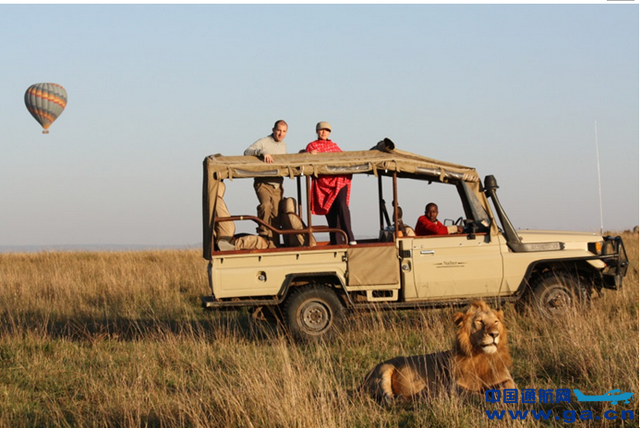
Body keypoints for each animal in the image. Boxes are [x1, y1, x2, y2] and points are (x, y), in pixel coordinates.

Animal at [361, 300, 516, 403]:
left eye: (495, 322)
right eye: (480, 321)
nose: (494, 334)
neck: (482, 356)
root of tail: (364, 377)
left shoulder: (505, 378)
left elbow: (509, 385)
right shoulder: (452, 386)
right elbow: (472, 394)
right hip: (384, 371)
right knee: (388, 399)